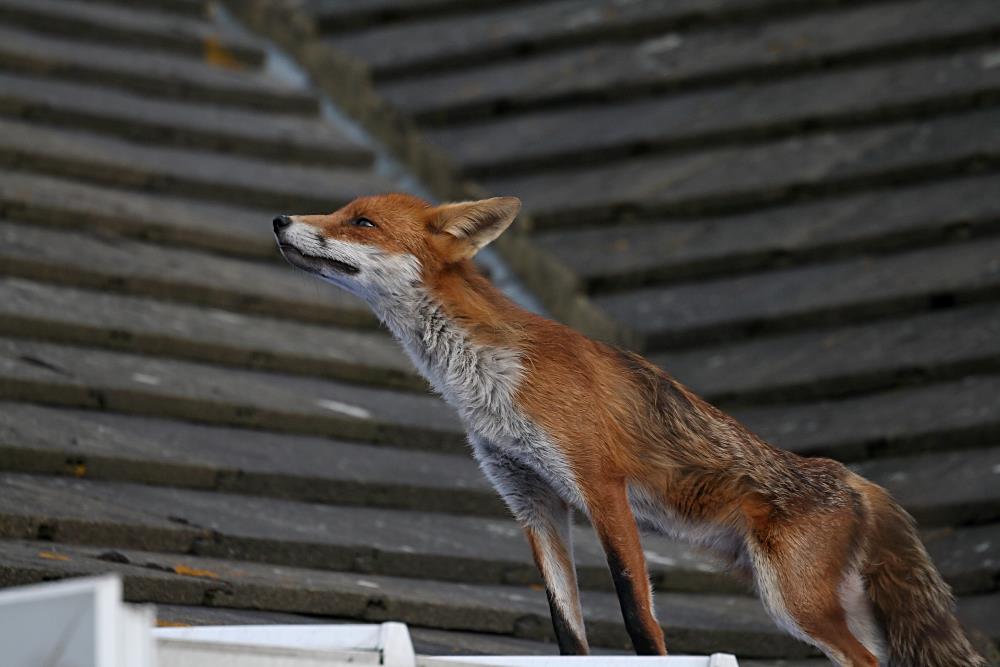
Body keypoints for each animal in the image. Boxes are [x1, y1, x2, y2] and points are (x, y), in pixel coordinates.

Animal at [272, 193, 986, 667]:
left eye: (361, 222)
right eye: (339, 210)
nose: (280, 220)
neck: (487, 382)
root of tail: (859, 481)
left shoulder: (599, 486)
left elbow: (638, 619)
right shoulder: (531, 500)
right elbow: (568, 630)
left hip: (794, 601)